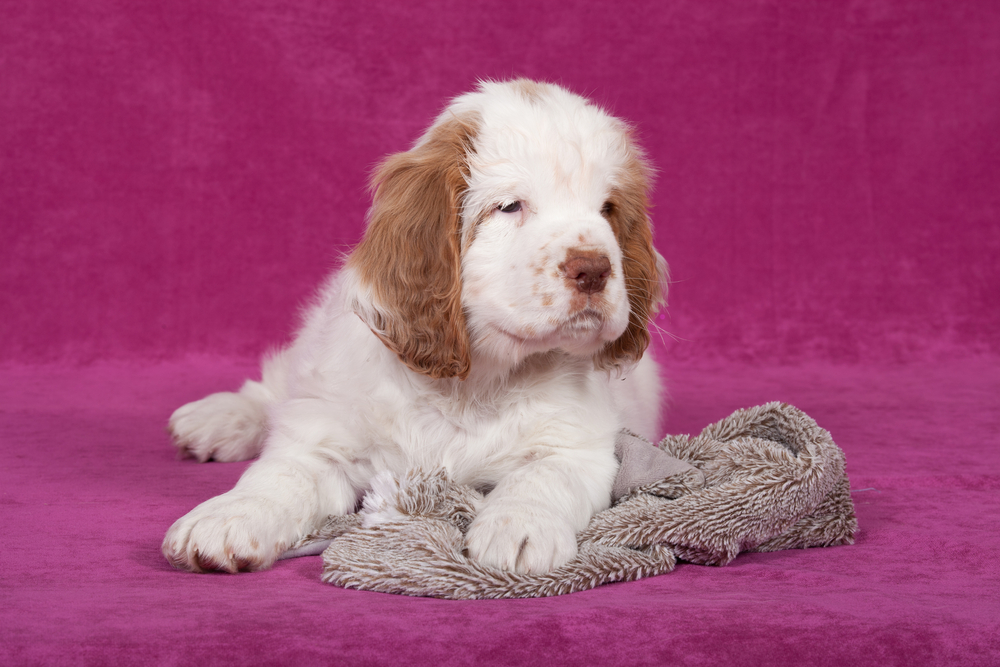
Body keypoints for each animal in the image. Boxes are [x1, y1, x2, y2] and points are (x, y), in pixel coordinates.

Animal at [162, 79, 664, 576]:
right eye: (509, 207)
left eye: (607, 209)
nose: (594, 270)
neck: (472, 385)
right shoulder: (325, 437)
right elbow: (283, 474)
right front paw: (228, 517)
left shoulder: (580, 446)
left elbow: (544, 475)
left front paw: (519, 526)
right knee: (276, 389)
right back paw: (218, 419)